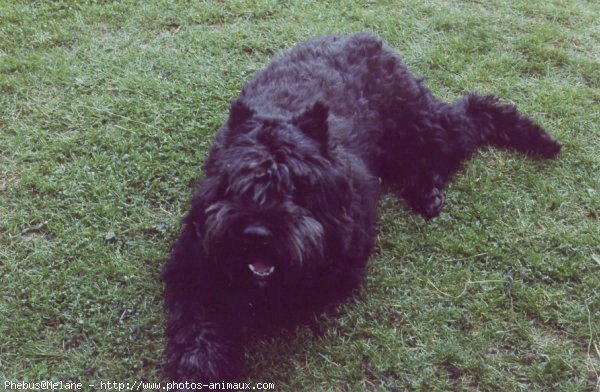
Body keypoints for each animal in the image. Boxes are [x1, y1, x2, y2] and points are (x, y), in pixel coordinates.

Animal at [162, 33, 560, 382]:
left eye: (297, 186)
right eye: (236, 181)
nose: (257, 233)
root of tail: (366, 38)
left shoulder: (339, 265)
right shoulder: (192, 264)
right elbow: (196, 323)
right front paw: (199, 366)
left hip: (422, 126)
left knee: (468, 117)